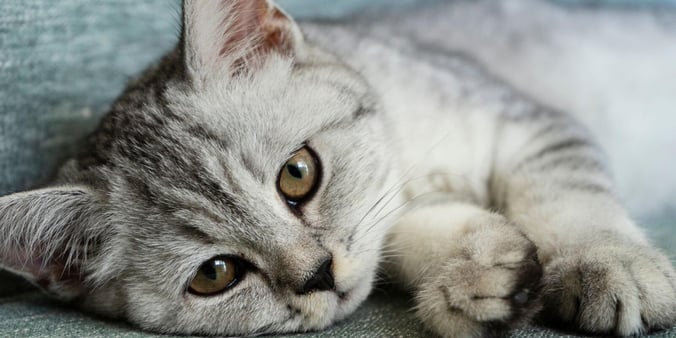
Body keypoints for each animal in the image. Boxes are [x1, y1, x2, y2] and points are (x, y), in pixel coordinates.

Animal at [1, 0, 676, 336]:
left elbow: (568, 195)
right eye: (215, 274)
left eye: (297, 174)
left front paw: (606, 264)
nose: (317, 275)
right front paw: (472, 275)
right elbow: (402, 240)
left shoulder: (528, 124)